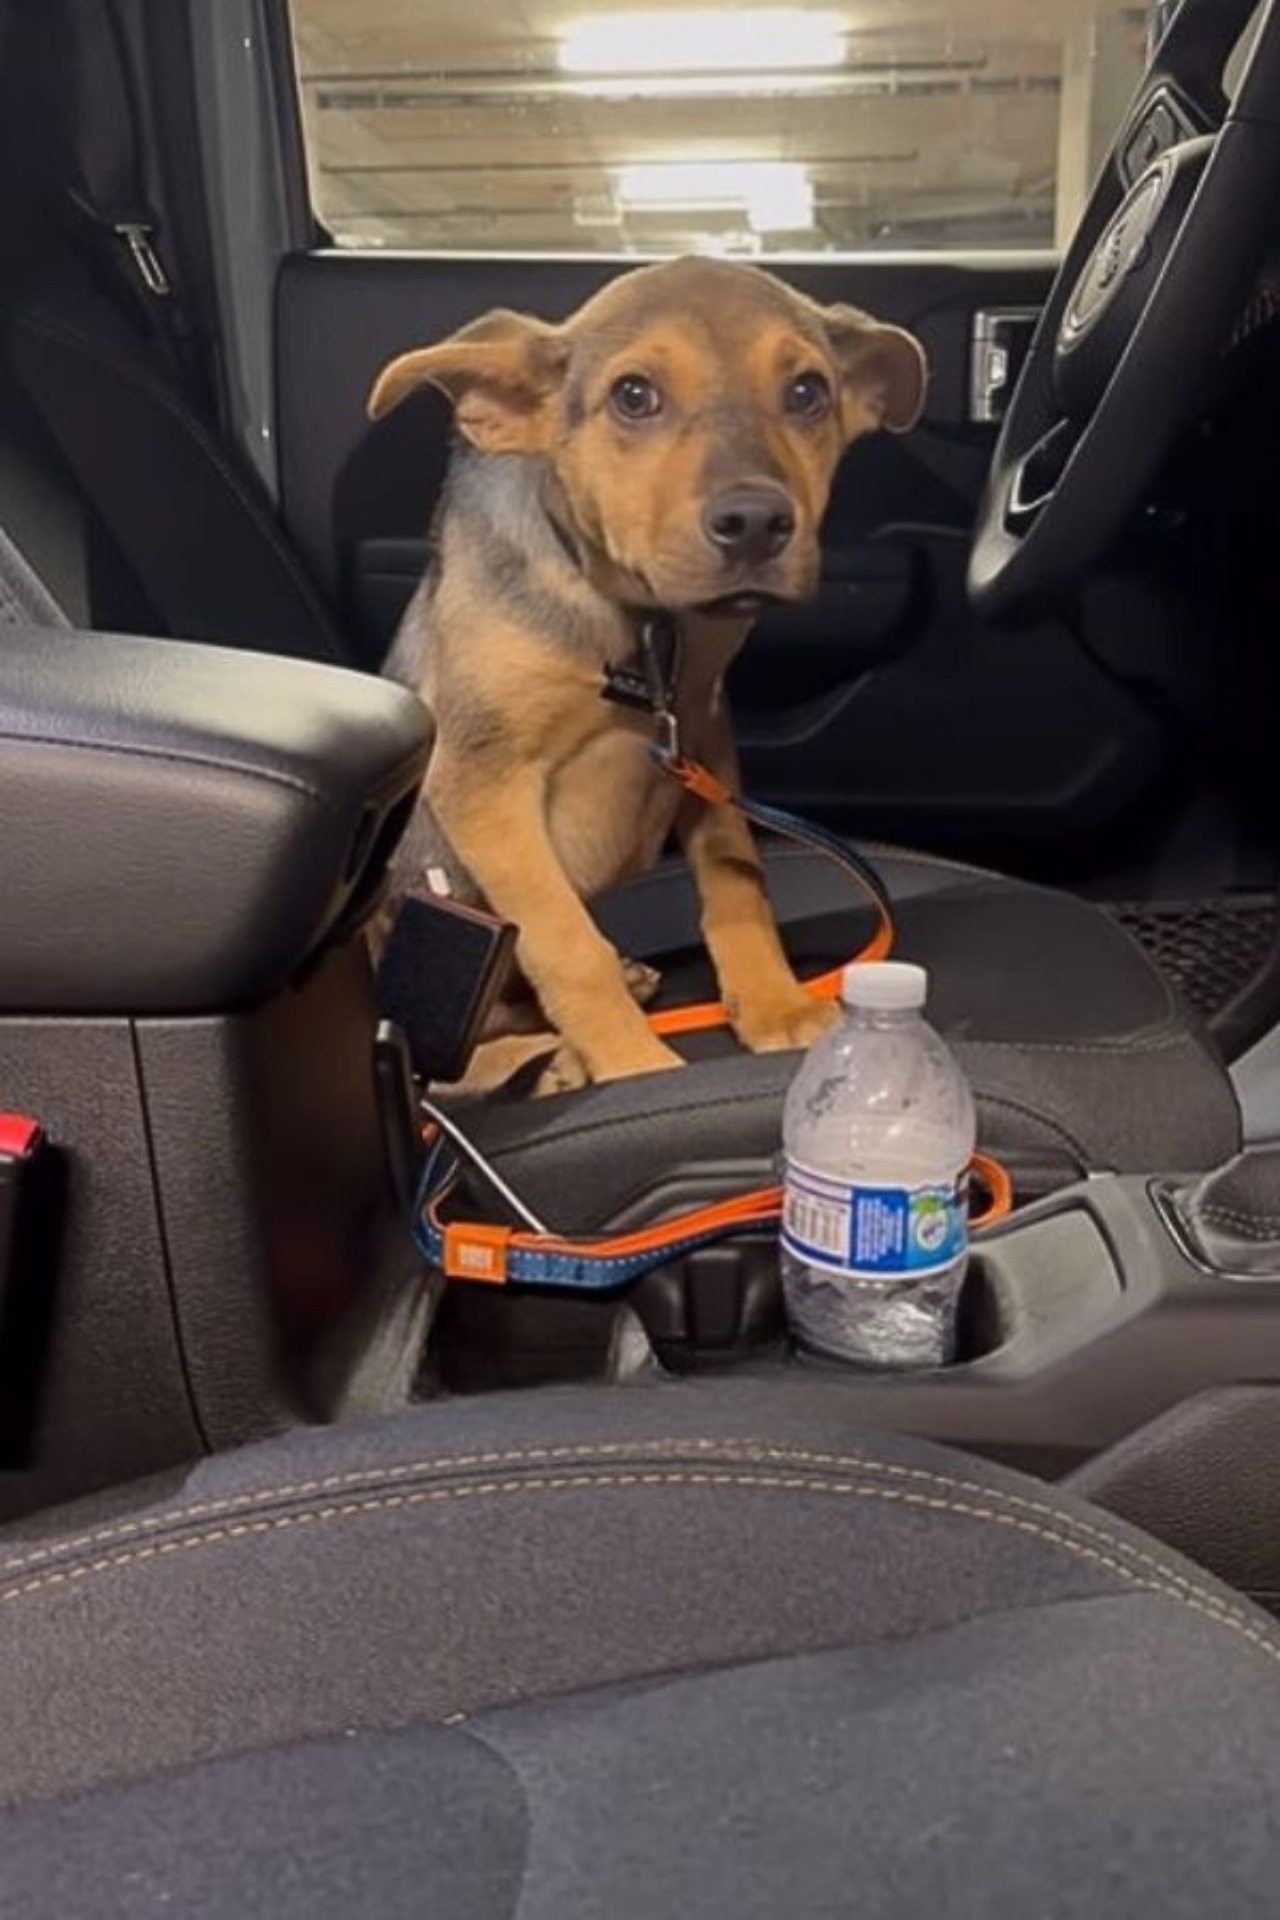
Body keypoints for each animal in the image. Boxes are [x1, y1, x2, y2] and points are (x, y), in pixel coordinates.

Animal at [364, 257, 924, 1098]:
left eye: (807, 392)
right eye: (633, 396)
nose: (755, 523)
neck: (639, 625)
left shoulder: (703, 738)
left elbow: (736, 881)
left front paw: (775, 1003)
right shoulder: (483, 779)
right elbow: (566, 942)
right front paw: (631, 1061)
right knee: (437, 1067)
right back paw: (550, 1062)